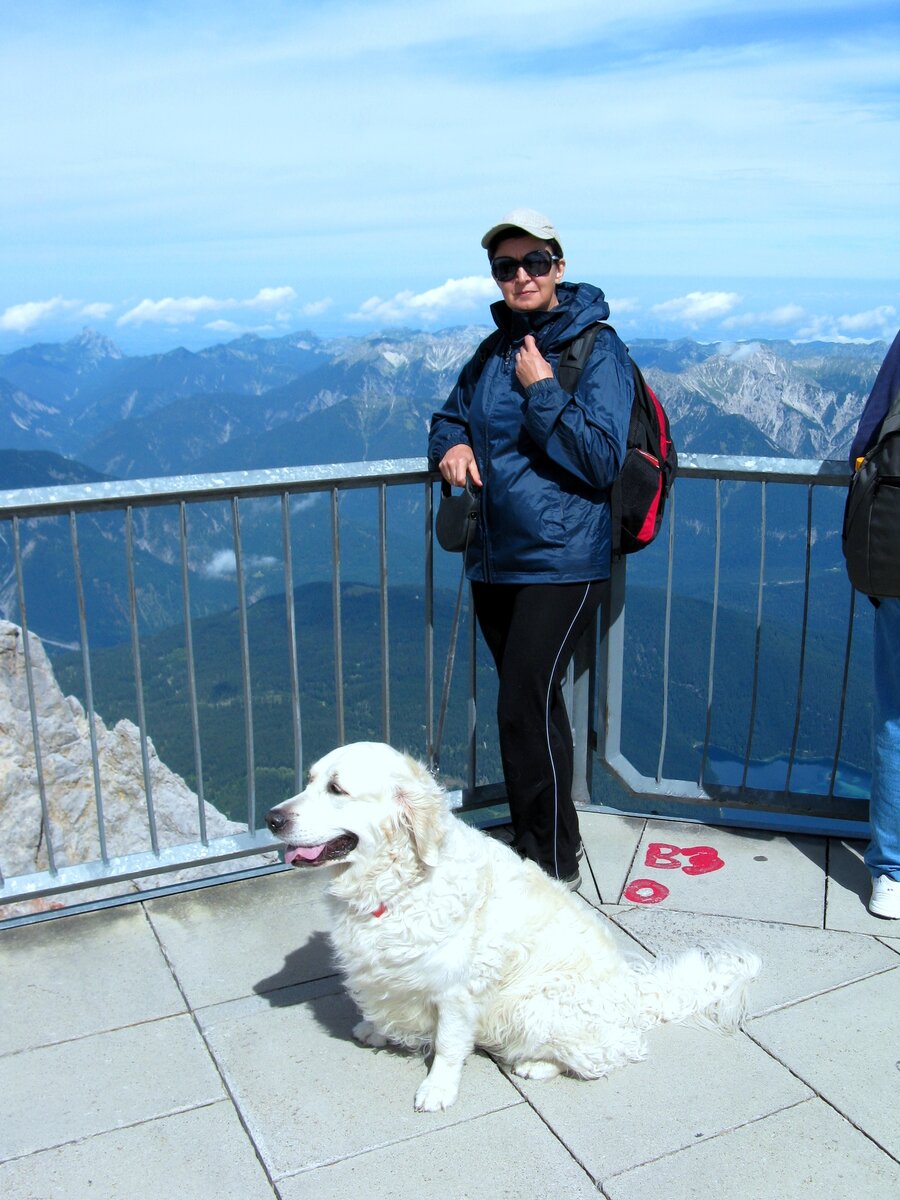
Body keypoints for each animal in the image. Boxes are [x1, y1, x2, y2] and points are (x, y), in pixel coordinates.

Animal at [267, 739, 763, 1113]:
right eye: (309, 780)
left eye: (337, 789)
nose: (272, 818)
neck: (397, 881)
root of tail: (637, 994)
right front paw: (375, 1030)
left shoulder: (456, 991)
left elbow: (448, 1045)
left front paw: (438, 1090)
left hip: (537, 1003)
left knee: (616, 1052)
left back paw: (538, 1065)